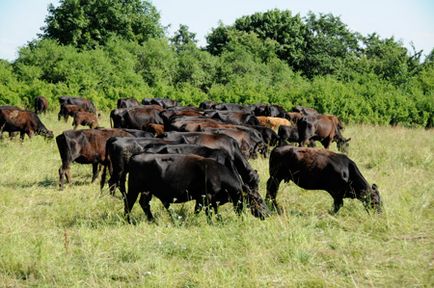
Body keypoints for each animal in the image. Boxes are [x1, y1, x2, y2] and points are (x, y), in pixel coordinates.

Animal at [125, 154, 264, 222]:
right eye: (259, 200)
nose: (267, 214)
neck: (218, 174)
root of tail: (133, 157)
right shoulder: (207, 196)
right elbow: (209, 212)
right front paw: (211, 223)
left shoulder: (202, 198)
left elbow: (201, 210)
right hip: (134, 187)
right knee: (129, 202)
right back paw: (129, 220)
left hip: (147, 190)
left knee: (144, 203)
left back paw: (152, 220)